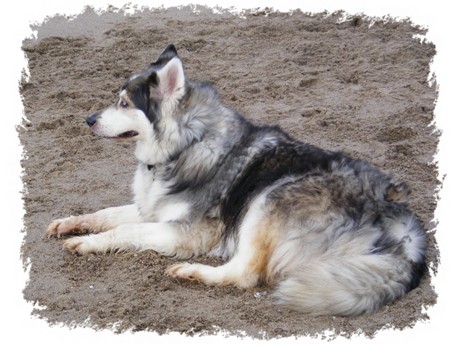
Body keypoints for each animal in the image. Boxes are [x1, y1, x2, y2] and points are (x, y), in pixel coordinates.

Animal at [45, 44, 426, 316]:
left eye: (124, 103)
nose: (88, 119)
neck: (186, 145)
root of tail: (394, 217)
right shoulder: (151, 207)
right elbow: (106, 213)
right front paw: (70, 223)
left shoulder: (190, 230)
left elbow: (125, 230)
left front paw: (88, 243)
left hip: (268, 201)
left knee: (245, 273)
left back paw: (192, 272)